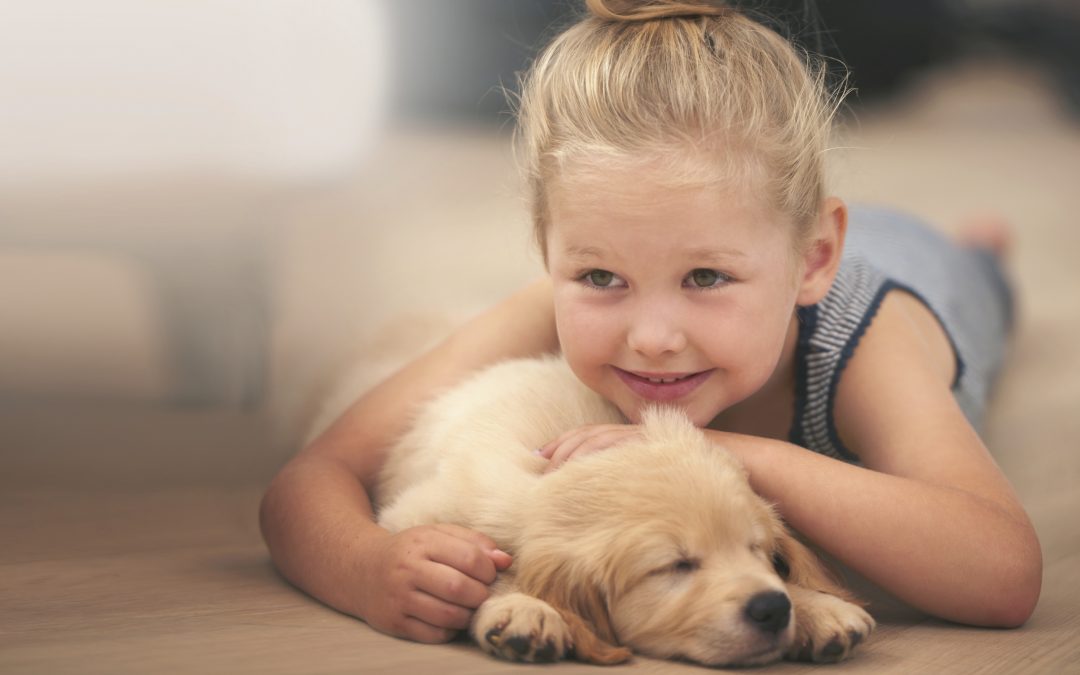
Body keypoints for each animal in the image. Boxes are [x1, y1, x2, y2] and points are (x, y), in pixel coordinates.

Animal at [375, 356, 872, 665]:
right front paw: (523, 607)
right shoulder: (420, 512)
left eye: (757, 550)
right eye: (674, 566)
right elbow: (488, 566)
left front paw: (815, 607)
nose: (771, 609)